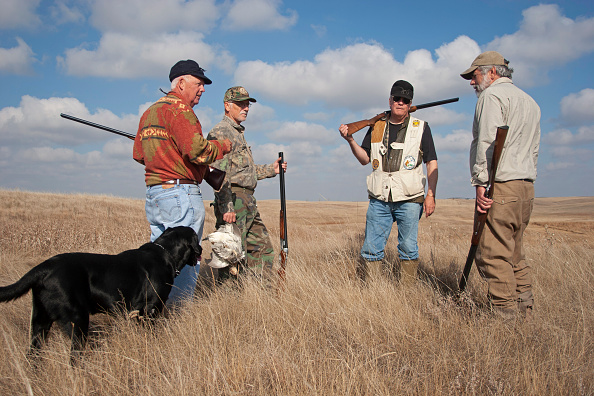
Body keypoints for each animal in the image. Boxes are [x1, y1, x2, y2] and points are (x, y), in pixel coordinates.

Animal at [0, 224, 200, 360]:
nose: (201, 250)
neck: (164, 253)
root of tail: (44, 268)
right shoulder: (151, 309)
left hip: (40, 322)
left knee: (33, 353)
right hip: (78, 320)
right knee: (75, 355)